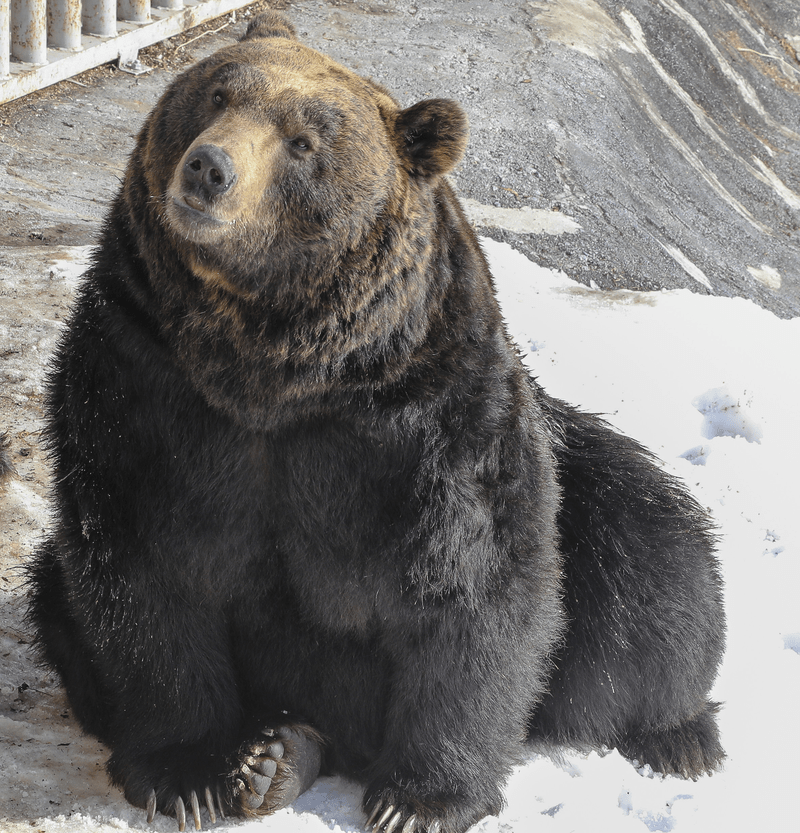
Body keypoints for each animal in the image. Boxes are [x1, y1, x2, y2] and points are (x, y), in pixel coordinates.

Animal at [27, 12, 725, 833]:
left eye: (304, 141)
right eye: (217, 94)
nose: (207, 169)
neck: (275, 366)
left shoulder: (429, 419)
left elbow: (473, 581)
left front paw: (418, 800)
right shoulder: (143, 378)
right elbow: (141, 563)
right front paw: (192, 772)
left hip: (585, 488)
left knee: (653, 559)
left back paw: (680, 734)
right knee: (55, 595)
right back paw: (277, 757)